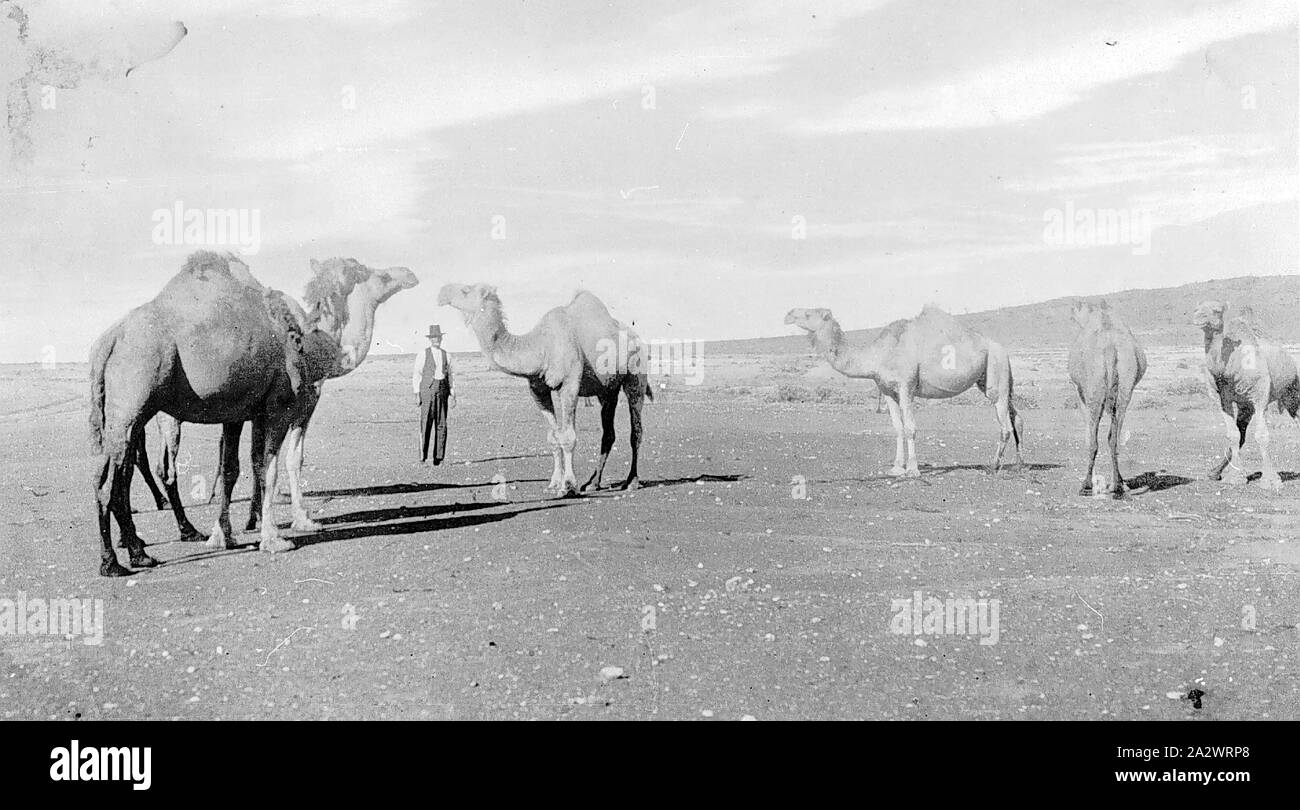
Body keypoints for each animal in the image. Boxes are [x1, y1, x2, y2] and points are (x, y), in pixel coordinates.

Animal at [90, 250, 416, 574]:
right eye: (370, 272)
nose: (409, 274)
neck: (312, 346)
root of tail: (109, 339)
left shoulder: (241, 412)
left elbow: (232, 468)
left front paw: (223, 536)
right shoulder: (281, 407)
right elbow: (270, 467)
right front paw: (277, 537)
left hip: (126, 414)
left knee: (117, 475)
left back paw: (138, 552)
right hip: (134, 401)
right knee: (117, 479)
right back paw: (116, 561)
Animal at [439, 284, 650, 494]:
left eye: (465, 290)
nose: (442, 292)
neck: (541, 346)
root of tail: (638, 338)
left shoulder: (570, 383)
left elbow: (567, 436)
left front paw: (568, 485)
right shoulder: (538, 389)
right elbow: (553, 437)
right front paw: (555, 482)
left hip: (636, 375)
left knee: (636, 430)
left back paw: (632, 480)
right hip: (607, 389)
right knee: (608, 433)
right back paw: (592, 483)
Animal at [780, 306, 1024, 478]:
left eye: (808, 314)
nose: (788, 314)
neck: (878, 355)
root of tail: (1002, 349)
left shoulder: (907, 386)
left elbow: (910, 428)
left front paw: (913, 469)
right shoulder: (887, 390)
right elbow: (897, 427)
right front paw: (897, 467)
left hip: (996, 372)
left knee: (1004, 423)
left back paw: (993, 466)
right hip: (992, 378)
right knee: (1016, 418)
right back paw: (1021, 464)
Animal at [1066, 299, 1149, 496]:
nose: (1070, 312)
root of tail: (1110, 347)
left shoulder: (1080, 392)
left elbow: (1088, 436)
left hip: (1093, 388)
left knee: (1094, 440)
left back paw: (1086, 485)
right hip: (1126, 386)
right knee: (1115, 438)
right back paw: (1117, 485)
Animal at [1190, 297, 1294, 488]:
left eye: (1217, 310)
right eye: (1196, 308)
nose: (1199, 316)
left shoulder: (1259, 396)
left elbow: (1262, 435)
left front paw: (1271, 480)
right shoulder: (1226, 399)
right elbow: (1233, 435)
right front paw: (1235, 477)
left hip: (1292, 394)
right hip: (1246, 406)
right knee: (1242, 434)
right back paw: (1214, 472)